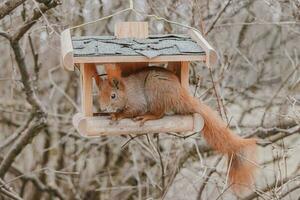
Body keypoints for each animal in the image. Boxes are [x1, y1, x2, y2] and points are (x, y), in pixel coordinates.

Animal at [97, 67, 256, 191]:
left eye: (113, 96)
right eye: (99, 95)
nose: (102, 108)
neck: (126, 91)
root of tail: (180, 95)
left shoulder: (138, 101)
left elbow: (132, 110)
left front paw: (117, 115)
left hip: (155, 89)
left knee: (159, 113)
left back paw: (147, 117)